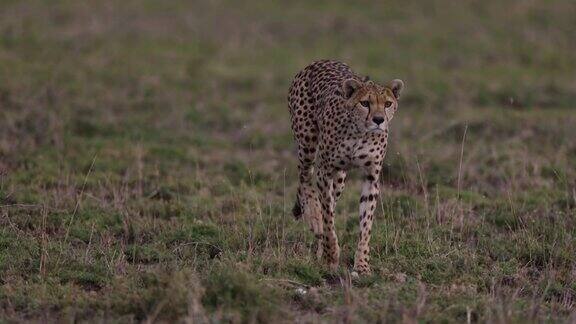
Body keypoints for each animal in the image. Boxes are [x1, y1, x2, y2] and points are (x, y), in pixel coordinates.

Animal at [288, 59, 404, 274]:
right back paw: (314, 217)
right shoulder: (324, 172)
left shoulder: (371, 177)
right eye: (365, 103)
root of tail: (320, 61)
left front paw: (362, 265)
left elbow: (365, 224)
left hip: (340, 178)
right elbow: (328, 218)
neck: (360, 133)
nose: (378, 120)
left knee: (330, 198)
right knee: (304, 178)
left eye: (388, 104)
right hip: (307, 144)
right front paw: (331, 256)